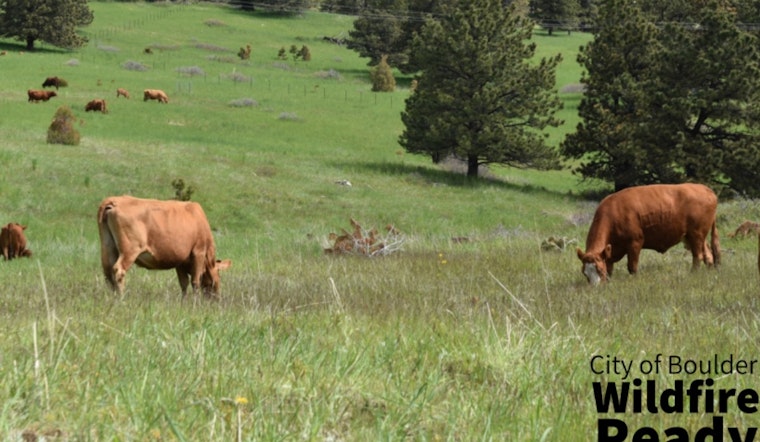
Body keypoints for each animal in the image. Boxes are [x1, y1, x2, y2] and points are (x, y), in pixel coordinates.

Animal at [98, 196, 231, 297]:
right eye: (218, 275)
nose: (217, 298)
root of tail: (114, 201)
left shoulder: (180, 260)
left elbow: (183, 283)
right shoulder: (199, 251)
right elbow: (195, 281)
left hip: (107, 247)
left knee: (108, 272)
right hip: (130, 249)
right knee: (118, 270)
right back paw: (121, 298)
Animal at [576, 183, 720, 285]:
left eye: (599, 270)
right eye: (585, 273)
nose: (595, 287)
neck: (613, 213)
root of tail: (705, 188)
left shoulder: (635, 243)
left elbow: (632, 267)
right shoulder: (610, 252)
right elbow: (610, 269)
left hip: (696, 235)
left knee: (698, 256)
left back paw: (693, 274)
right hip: (693, 237)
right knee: (708, 255)